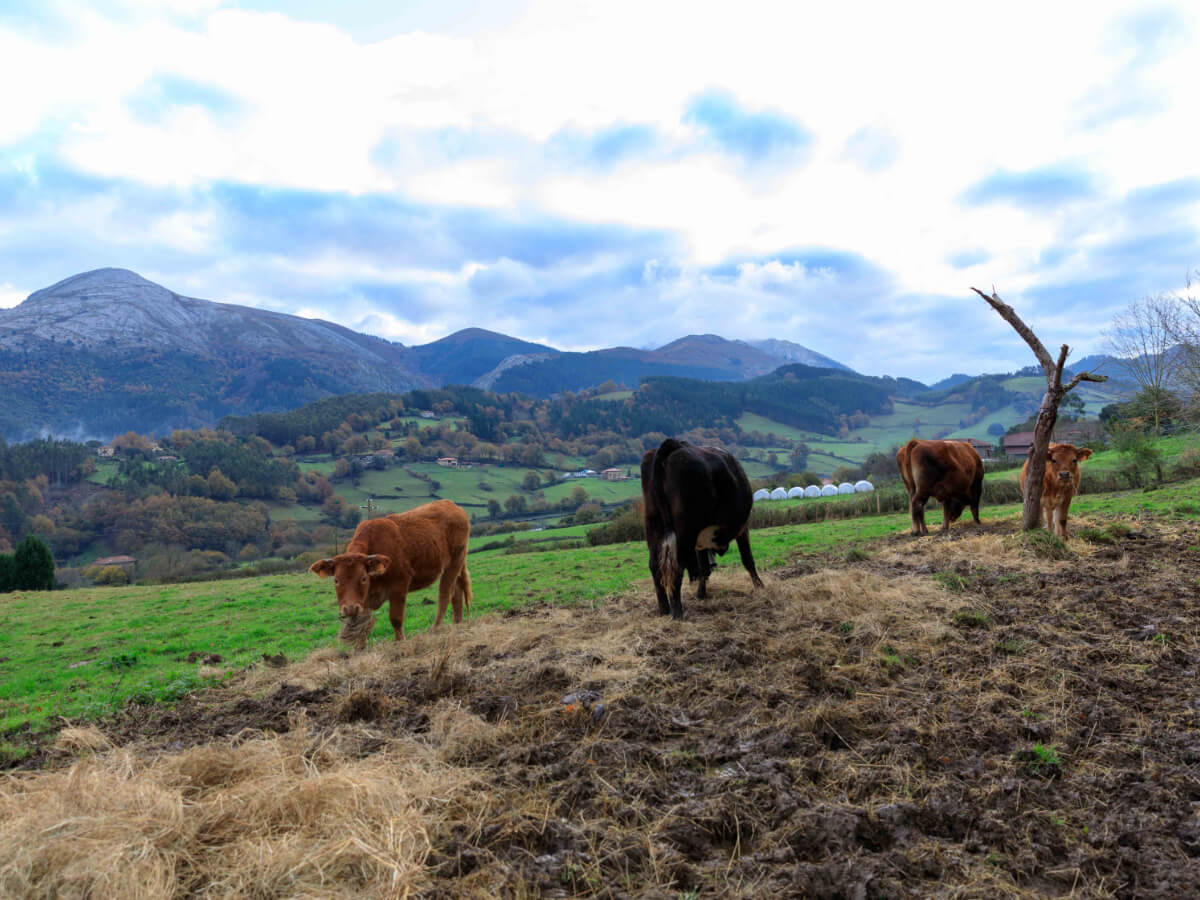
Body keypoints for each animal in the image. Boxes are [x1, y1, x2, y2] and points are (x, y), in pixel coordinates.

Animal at [309, 501, 472, 648]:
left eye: (363, 578)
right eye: (336, 580)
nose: (350, 608)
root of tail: (452, 505)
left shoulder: (399, 586)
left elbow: (395, 618)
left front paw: (399, 642)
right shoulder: (364, 598)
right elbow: (363, 622)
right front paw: (359, 648)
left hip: (454, 562)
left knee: (445, 594)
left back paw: (436, 627)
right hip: (457, 564)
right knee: (457, 591)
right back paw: (458, 623)